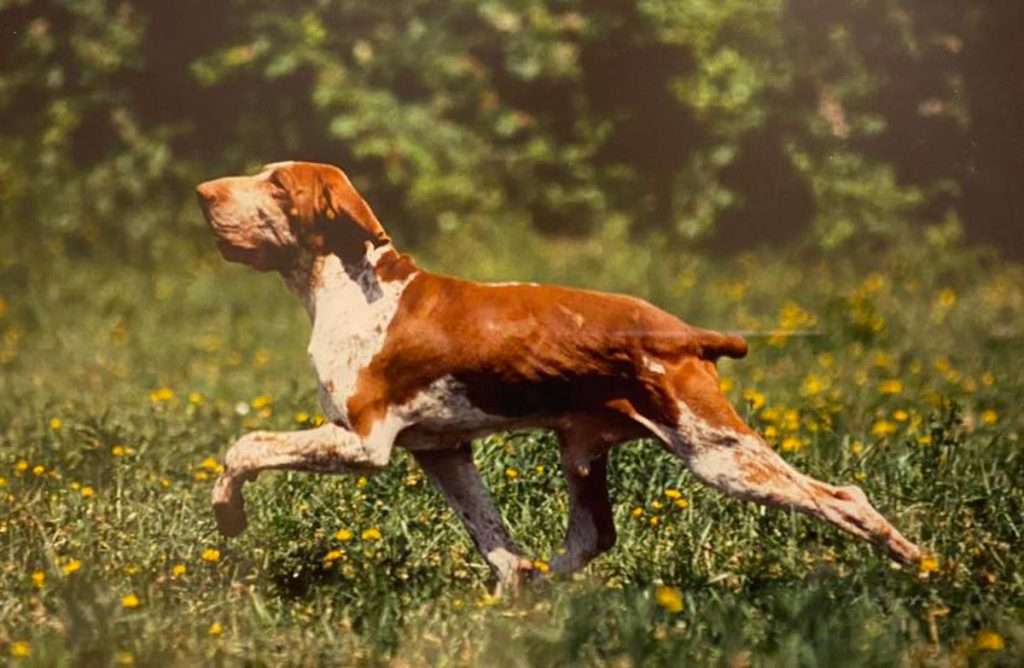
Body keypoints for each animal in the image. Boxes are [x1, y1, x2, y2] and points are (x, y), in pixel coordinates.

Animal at [195, 161, 925, 590]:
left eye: (278, 184)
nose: (203, 193)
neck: (355, 286)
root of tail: (685, 333)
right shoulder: (443, 452)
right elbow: (495, 541)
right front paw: (511, 593)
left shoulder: (362, 443)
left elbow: (244, 447)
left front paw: (229, 513)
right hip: (582, 449)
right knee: (593, 537)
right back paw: (547, 586)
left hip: (720, 455)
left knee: (843, 498)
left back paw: (919, 565)